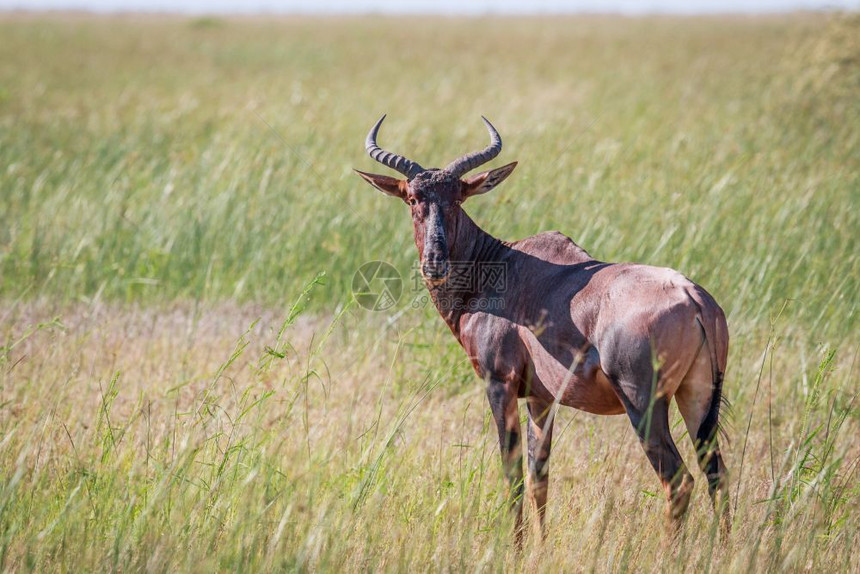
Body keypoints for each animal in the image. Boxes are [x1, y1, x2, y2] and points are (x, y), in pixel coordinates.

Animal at [356, 116, 732, 544]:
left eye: (457, 198)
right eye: (413, 198)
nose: (435, 263)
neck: (503, 264)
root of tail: (693, 297)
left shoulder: (499, 383)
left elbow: (513, 472)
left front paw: (514, 548)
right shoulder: (541, 398)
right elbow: (540, 477)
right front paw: (538, 546)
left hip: (644, 403)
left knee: (678, 480)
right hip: (698, 395)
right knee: (716, 475)